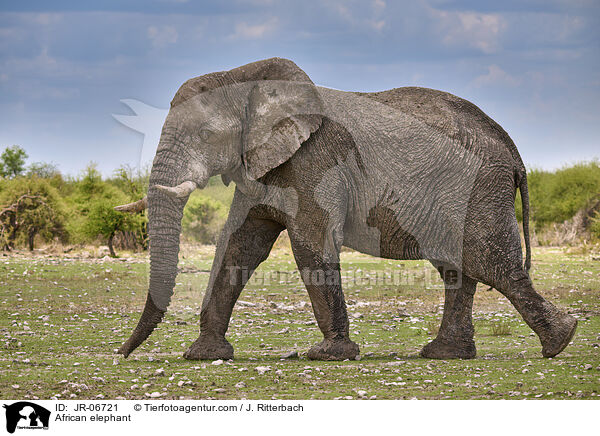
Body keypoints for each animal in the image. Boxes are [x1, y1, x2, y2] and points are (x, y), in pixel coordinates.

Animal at [113, 56, 576, 360]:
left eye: (206, 134)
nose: (121, 353)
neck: (250, 79)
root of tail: (513, 152)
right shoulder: (264, 165)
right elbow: (239, 245)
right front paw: (205, 355)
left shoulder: (314, 162)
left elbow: (308, 242)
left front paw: (328, 354)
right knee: (457, 266)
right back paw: (444, 354)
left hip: (477, 188)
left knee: (490, 261)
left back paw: (560, 342)